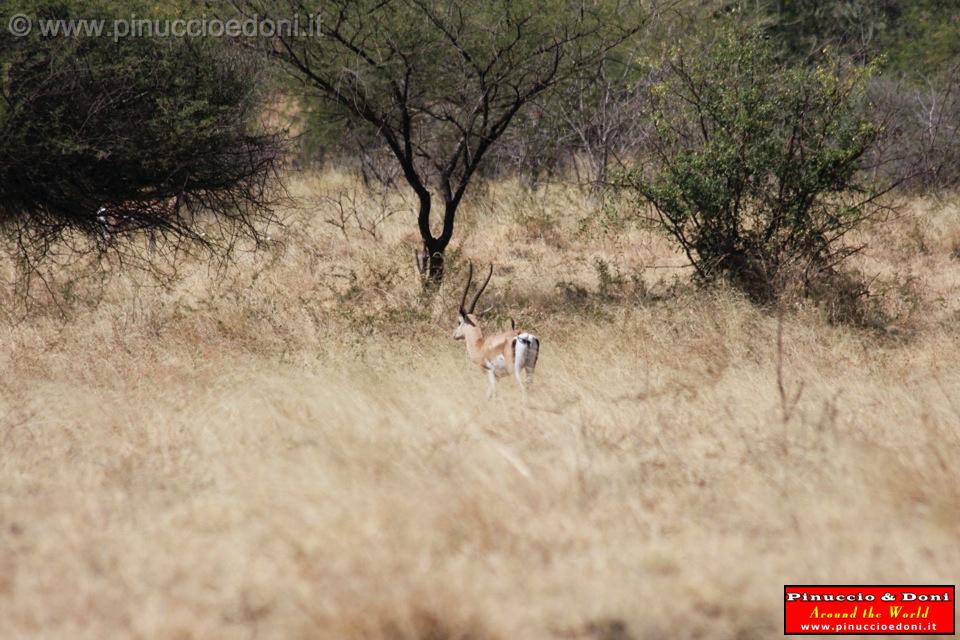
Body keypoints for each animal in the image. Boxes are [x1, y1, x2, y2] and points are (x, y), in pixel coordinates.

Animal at [452, 262, 536, 398]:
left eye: (459, 322)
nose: (454, 335)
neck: (480, 345)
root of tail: (525, 337)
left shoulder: (490, 373)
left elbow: (491, 395)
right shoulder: (497, 377)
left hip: (515, 371)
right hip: (530, 368)